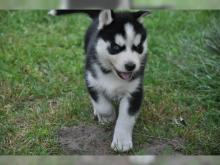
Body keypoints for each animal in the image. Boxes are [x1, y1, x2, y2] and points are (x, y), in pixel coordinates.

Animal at [49, 9, 150, 151]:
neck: (112, 74)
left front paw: (121, 142)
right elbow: (103, 106)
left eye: (138, 47)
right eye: (116, 47)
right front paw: (108, 117)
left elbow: (126, 118)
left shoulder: (135, 91)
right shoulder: (92, 81)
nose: (131, 66)